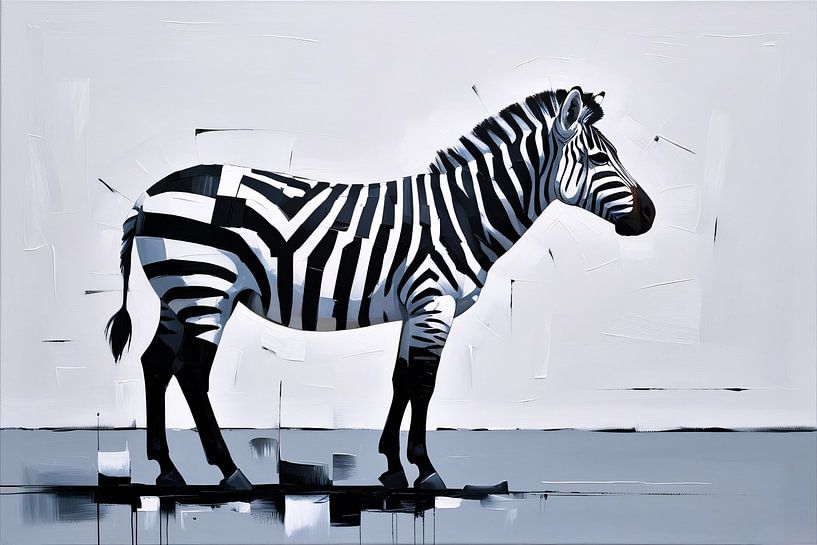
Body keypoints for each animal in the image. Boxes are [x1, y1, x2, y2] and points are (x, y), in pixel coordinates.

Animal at [105, 86, 655, 491]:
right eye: (599, 159)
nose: (649, 216)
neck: (464, 214)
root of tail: (145, 197)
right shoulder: (434, 303)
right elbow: (423, 384)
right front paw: (426, 471)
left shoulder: (417, 308)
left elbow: (401, 380)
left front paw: (392, 467)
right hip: (206, 289)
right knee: (192, 374)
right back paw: (229, 472)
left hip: (177, 292)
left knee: (155, 364)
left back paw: (168, 470)